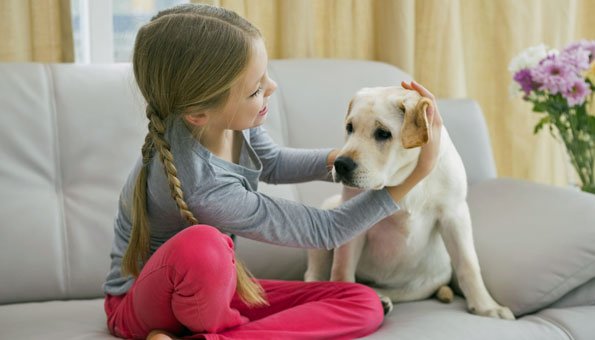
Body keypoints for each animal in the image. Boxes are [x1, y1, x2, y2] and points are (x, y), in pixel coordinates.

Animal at [304, 87, 516, 318]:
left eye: (383, 133)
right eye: (350, 128)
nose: (340, 164)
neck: (403, 178)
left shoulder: (455, 213)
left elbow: (468, 264)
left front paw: (487, 307)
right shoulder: (349, 221)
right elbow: (342, 269)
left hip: (425, 282)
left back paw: (381, 299)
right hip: (329, 208)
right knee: (313, 275)